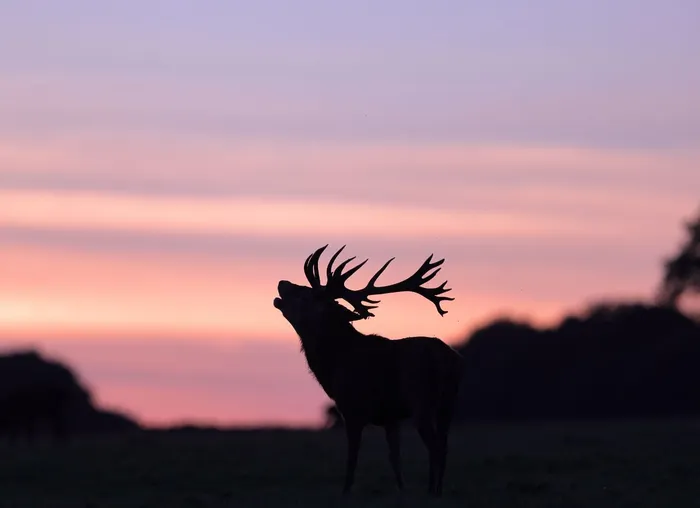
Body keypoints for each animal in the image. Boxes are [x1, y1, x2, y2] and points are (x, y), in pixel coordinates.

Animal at [273, 244, 464, 497]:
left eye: (307, 295)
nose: (282, 282)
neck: (334, 365)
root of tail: (452, 360)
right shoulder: (391, 417)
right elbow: (395, 460)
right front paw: (402, 492)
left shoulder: (352, 409)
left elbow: (352, 460)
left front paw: (345, 493)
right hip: (447, 404)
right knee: (444, 446)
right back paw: (437, 492)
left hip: (421, 400)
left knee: (435, 448)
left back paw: (431, 492)